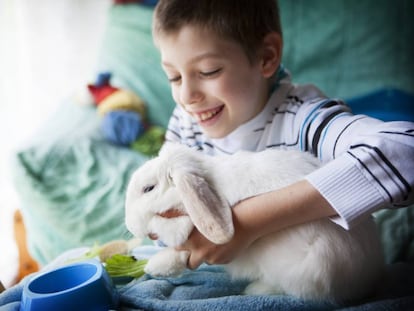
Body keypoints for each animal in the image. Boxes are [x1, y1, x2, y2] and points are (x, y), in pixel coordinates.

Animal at [124, 144, 384, 304]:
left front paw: (154, 267)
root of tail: (365, 281)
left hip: (305, 266)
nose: (129, 225)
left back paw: (256, 289)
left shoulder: (188, 227)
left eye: (148, 188)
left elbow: (179, 244)